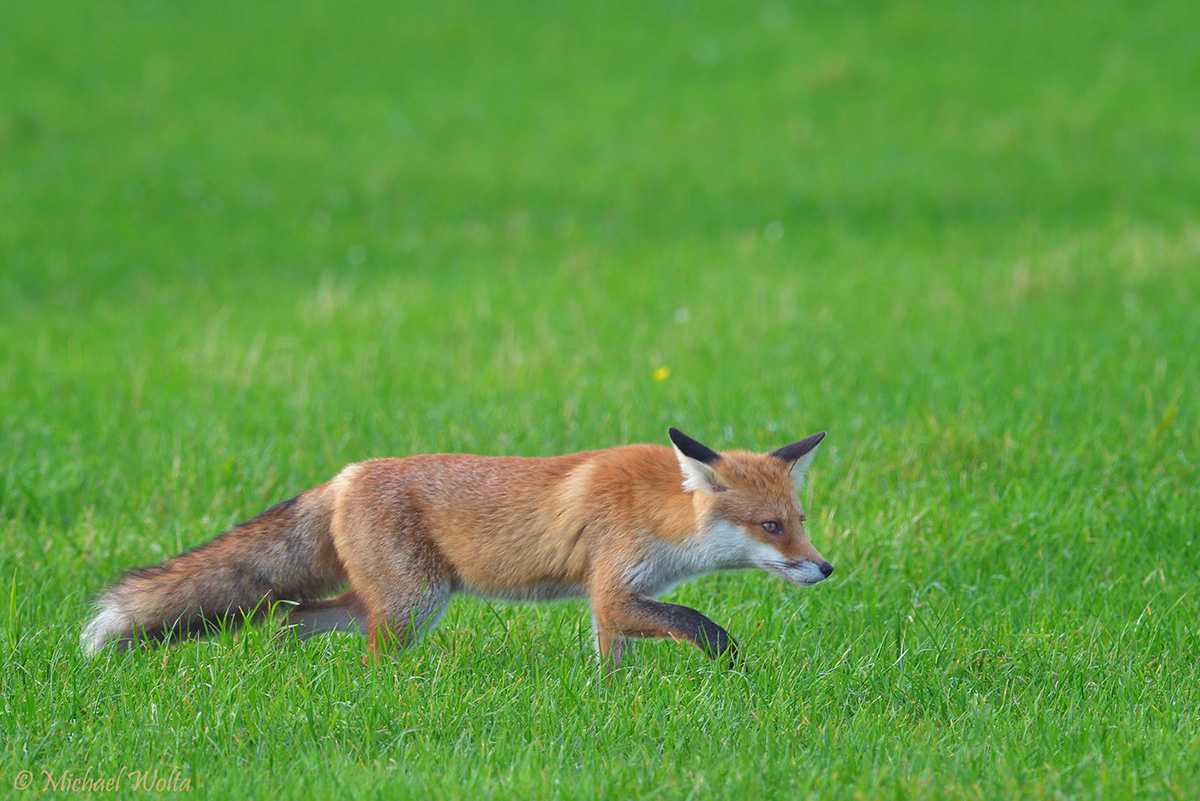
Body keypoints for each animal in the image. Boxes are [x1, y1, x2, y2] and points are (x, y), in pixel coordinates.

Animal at [82, 429, 835, 666]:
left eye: (798, 518)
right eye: (772, 527)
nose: (826, 567)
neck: (660, 513)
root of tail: (348, 473)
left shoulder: (611, 603)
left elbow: (611, 662)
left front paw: (610, 702)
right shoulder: (615, 589)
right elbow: (693, 621)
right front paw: (728, 657)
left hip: (395, 598)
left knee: (291, 616)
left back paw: (285, 667)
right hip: (413, 604)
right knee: (361, 651)